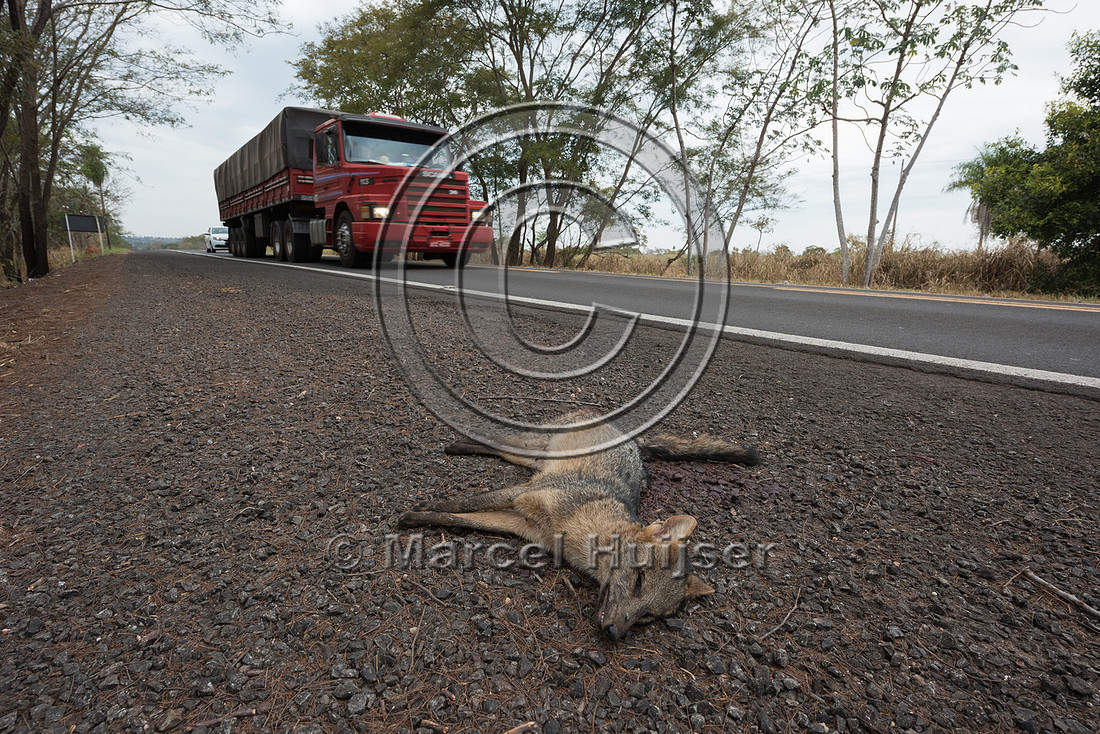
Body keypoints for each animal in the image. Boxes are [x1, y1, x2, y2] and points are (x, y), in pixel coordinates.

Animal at [396, 411, 759, 641]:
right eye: (639, 581)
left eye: (648, 616)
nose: (614, 634)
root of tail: (629, 437)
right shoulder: (523, 493)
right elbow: (463, 504)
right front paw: (422, 508)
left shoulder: (518, 523)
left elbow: (460, 518)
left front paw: (419, 516)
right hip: (535, 447)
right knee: (500, 439)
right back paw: (458, 444)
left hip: (533, 459)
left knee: (501, 450)